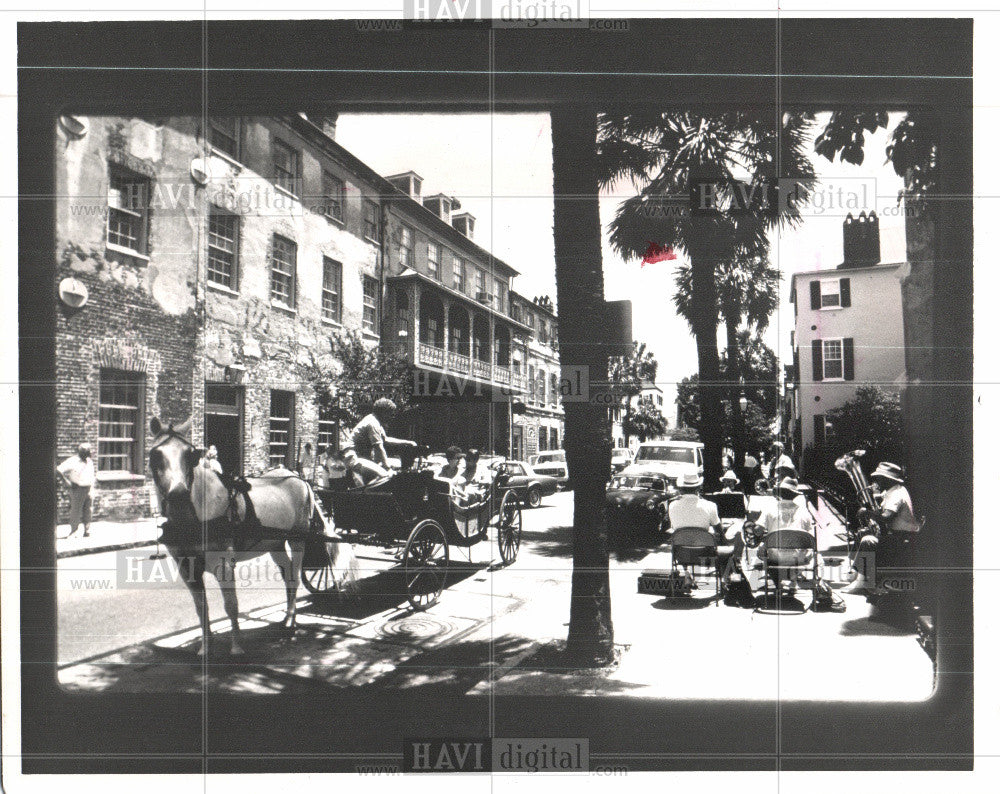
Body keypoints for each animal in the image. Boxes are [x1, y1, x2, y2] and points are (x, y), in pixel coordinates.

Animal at [145, 418, 356, 652]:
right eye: (155, 455)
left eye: (190, 455)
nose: (179, 494)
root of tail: (300, 479)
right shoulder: (185, 565)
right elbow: (201, 606)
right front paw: (205, 646)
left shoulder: (224, 563)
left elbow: (231, 605)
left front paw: (236, 647)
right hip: (275, 543)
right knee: (287, 574)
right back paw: (286, 618)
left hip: (297, 539)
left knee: (293, 575)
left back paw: (291, 622)